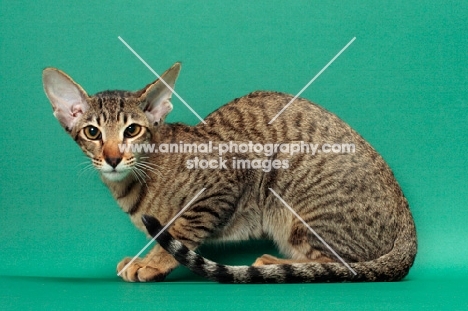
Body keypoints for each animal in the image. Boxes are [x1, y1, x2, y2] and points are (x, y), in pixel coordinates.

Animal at [43, 62, 416, 284]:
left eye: (132, 130)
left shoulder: (222, 183)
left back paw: (272, 264)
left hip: (291, 185)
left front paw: (153, 261)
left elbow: (181, 230)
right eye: (92, 133)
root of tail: (408, 225)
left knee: (342, 265)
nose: (113, 157)